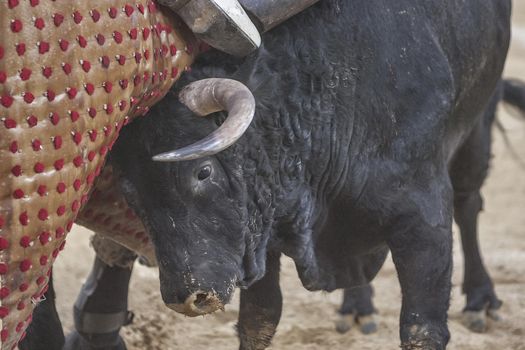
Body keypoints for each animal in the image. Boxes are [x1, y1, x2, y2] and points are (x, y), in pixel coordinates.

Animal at [21, 0, 516, 350]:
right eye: (131, 194)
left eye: (203, 171)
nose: (190, 298)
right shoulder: (265, 232)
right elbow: (259, 320)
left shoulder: (423, 219)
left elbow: (422, 327)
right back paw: (357, 307)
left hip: (477, 129)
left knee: (469, 202)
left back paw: (481, 300)